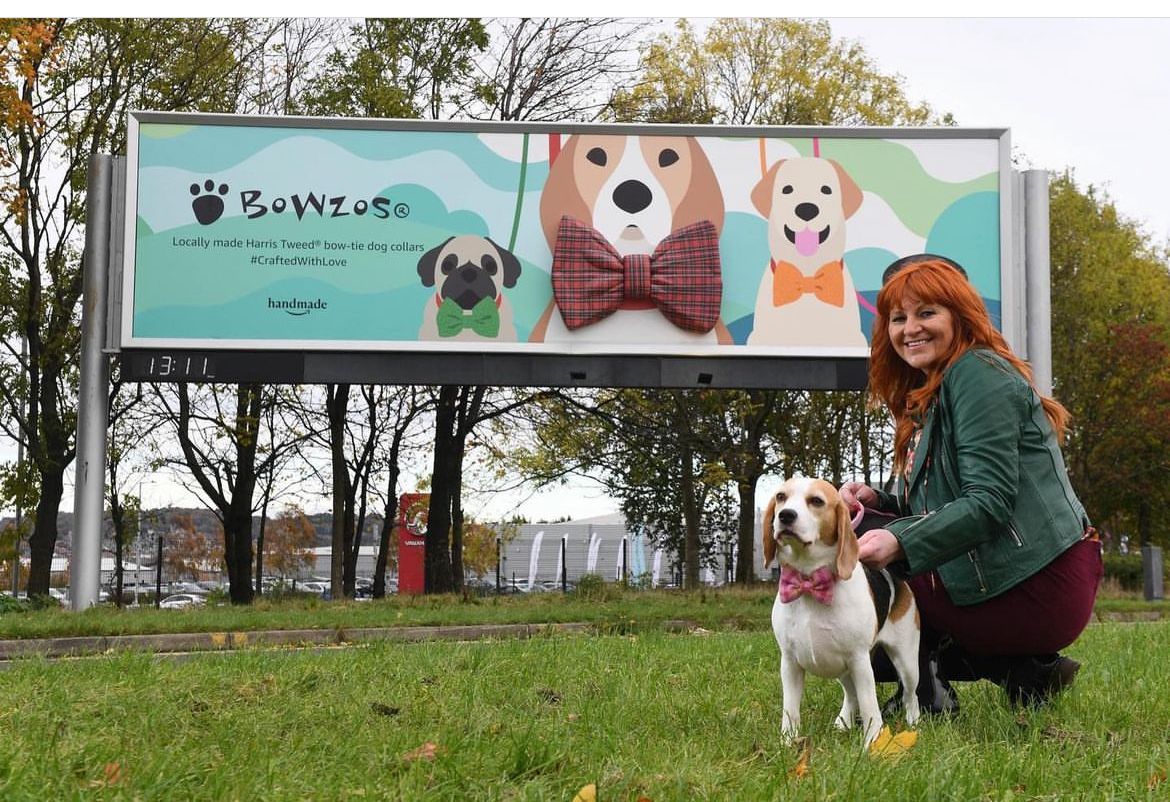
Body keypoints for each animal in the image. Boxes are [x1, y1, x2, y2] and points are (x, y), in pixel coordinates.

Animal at [762, 475, 917, 744]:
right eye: (781, 497)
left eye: (816, 501)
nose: (785, 515)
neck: (809, 580)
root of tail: (894, 577)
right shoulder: (790, 663)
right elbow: (790, 710)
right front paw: (787, 743)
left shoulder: (859, 660)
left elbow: (869, 706)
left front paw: (872, 743)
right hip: (844, 670)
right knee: (851, 694)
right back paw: (843, 722)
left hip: (906, 661)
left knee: (910, 695)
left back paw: (914, 722)